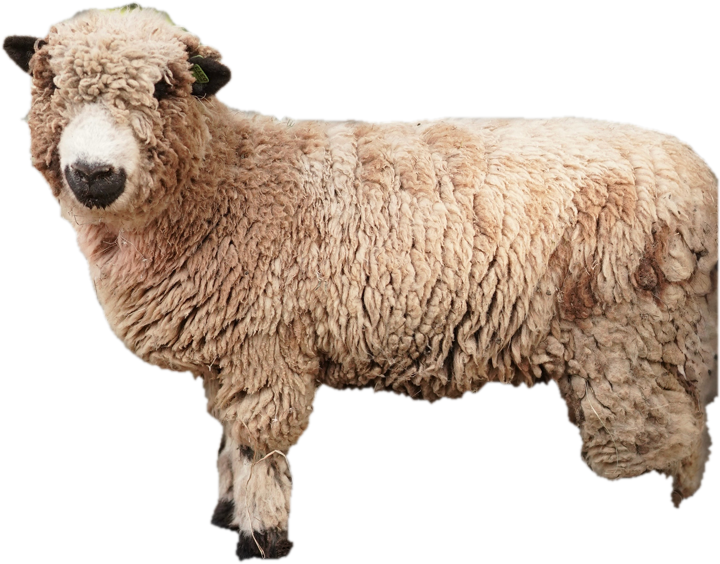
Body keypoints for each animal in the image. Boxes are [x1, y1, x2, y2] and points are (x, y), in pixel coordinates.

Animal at [3, 5, 719, 562]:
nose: (94, 175)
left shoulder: (266, 347)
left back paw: (631, 538)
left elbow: (258, 447)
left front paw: (260, 539)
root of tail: (700, 179)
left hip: (625, 340)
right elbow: (228, 449)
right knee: (687, 443)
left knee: (646, 450)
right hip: (669, 345)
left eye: (164, 87)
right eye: (49, 81)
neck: (225, 182)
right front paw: (226, 516)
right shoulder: (225, 353)